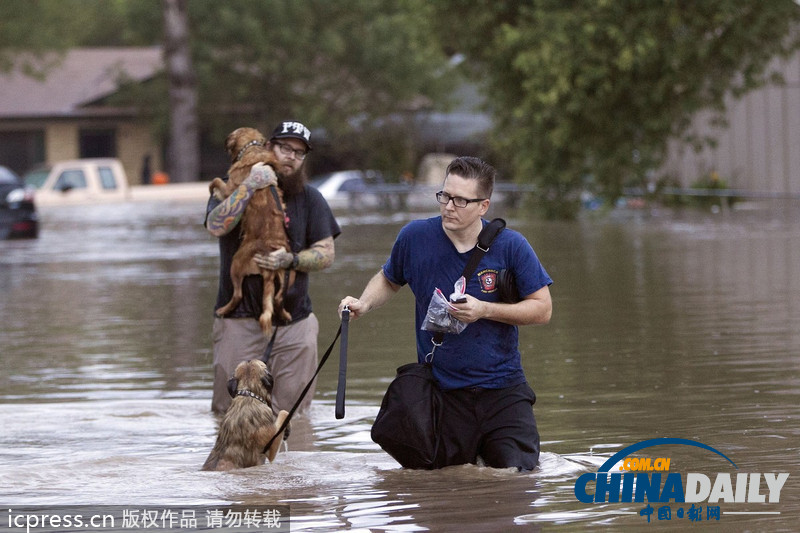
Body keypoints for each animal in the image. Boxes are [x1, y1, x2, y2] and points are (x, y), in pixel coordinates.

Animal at [208, 125, 296, 332]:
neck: (252, 149)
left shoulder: (230, 188)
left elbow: (216, 181)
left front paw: (211, 189)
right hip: (290, 274)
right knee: (278, 299)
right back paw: (285, 315)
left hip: (235, 264)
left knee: (238, 295)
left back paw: (223, 310)